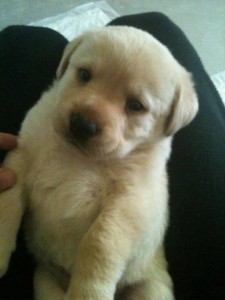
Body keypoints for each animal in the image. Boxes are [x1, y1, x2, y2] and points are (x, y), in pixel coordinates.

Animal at [0, 26, 197, 300]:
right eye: (84, 74)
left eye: (136, 105)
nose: (82, 124)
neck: (80, 157)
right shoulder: (22, 156)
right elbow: (7, 204)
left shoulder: (130, 202)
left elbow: (99, 242)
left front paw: (87, 293)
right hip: (44, 279)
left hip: (151, 288)